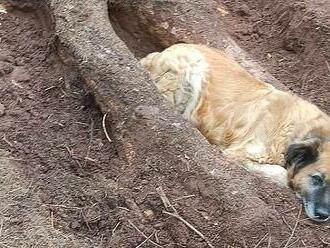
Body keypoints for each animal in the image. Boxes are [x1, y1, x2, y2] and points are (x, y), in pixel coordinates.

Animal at [141, 43, 330, 222]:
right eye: (317, 179)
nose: (323, 215)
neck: (298, 131)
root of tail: (158, 54)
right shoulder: (240, 153)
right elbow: (282, 174)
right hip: (191, 72)